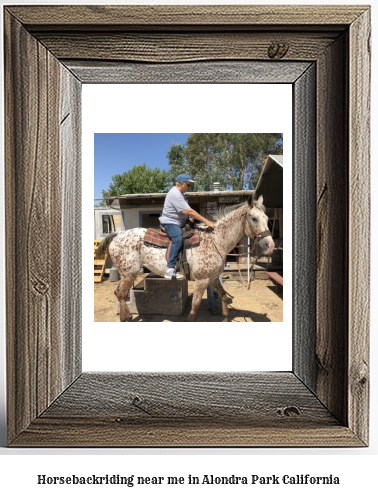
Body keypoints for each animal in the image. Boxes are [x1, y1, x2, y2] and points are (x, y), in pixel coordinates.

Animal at [96, 193, 274, 322]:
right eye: (254, 218)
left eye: (267, 218)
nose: (270, 246)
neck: (216, 240)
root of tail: (118, 235)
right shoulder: (202, 280)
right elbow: (195, 305)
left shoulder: (212, 278)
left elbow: (223, 295)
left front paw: (225, 318)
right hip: (129, 274)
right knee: (120, 294)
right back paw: (126, 317)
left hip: (127, 274)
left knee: (118, 293)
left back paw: (125, 316)